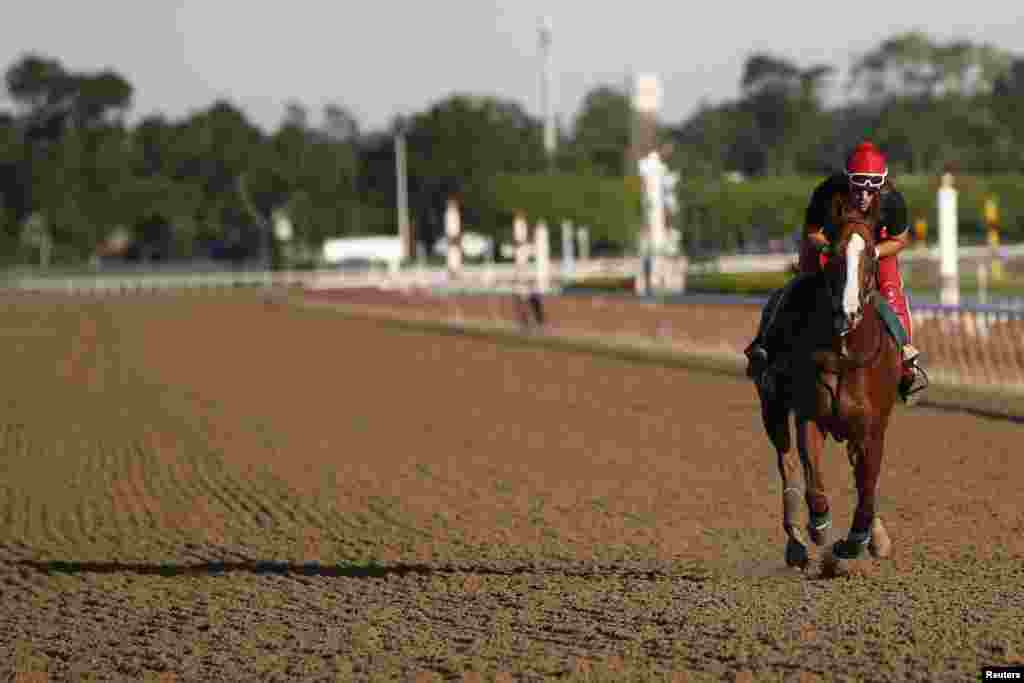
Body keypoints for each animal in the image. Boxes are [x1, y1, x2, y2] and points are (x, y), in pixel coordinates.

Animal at [757, 194, 901, 569]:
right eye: (833, 255)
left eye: (872, 256)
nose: (848, 313)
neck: (844, 354)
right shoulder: (811, 417)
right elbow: (813, 479)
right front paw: (820, 527)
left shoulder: (872, 427)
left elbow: (867, 488)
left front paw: (857, 541)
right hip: (771, 404)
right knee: (787, 463)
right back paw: (796, 544)